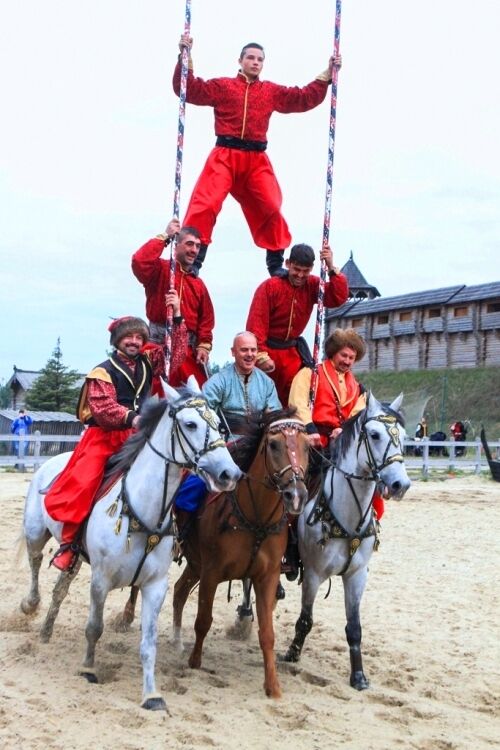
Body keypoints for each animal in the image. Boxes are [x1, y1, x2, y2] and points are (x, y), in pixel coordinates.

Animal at [22, 382, 242, 712]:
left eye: (218, 424)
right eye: (190, 424)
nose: (230, 474)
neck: (142, 512)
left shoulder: (155, 586)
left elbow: (149, 643)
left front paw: (152, 695)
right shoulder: (100, 580)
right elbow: (94, 627)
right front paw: (88, 668)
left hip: (73, 556)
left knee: (60, 587)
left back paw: (47, 630)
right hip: (36, 532)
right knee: (35, 560)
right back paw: (30, 604)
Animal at [174, 412, 310, 700]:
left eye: (307, 447)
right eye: (274, 445)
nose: (296, 495)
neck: (255, 518)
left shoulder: (267, 577)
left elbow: (267, 633)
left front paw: (273, 686)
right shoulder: (211, 573)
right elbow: (203, 620)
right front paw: (195, 662)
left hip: (194, 563)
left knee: (179, 591)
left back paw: (177, 641)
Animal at [284, 396, 412, 692]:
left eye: (404, 437)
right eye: (374, 435)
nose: (400, 484)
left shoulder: (356, 575)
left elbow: (354, 628)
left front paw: (359, 676)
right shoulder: (313, 575)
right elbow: (305, 620)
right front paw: (292, 653)